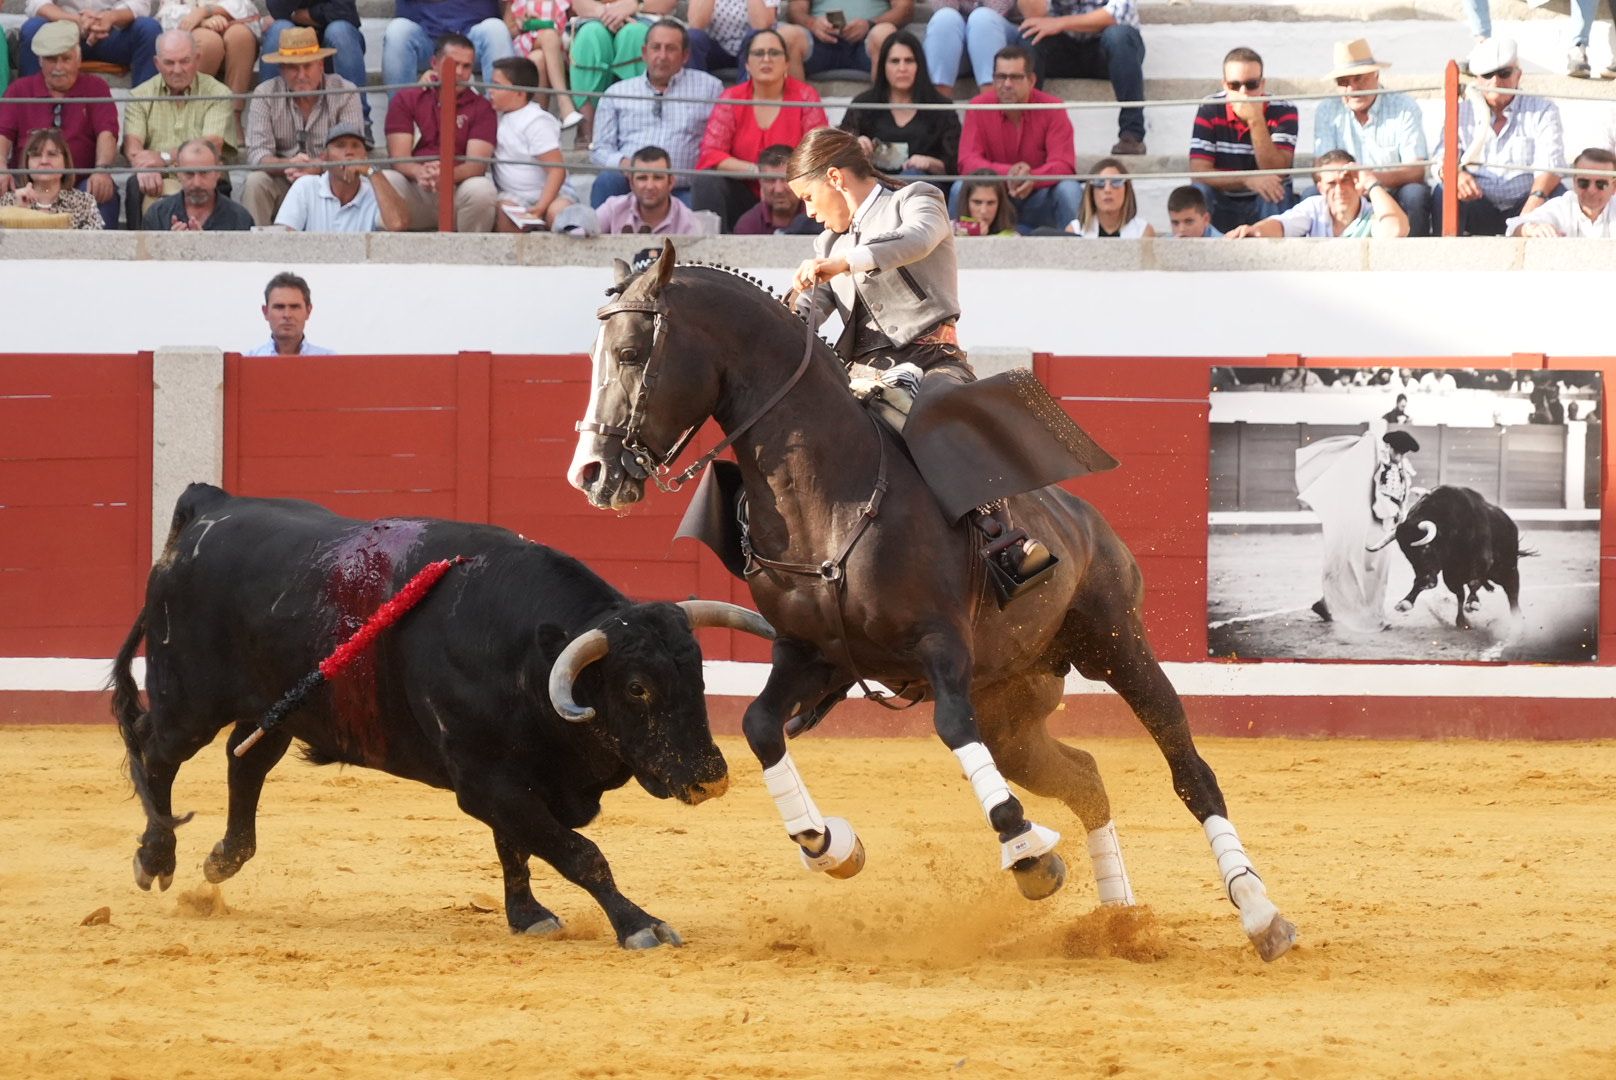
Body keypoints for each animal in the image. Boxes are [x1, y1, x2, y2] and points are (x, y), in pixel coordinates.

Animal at [110, 485, 772, 950]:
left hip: (275, 710)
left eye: (698, 673)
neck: (520, 652)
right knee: (157, 751)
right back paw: (155, 858)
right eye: (636, 688)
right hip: (189, 698)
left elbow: (518, 848)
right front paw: (640, 925)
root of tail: (208, 507)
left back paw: (223, 858)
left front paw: (528, 917)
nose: (710, 778)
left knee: (243, 762)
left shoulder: (515, 778)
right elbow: (576, 851)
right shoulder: (487, 780)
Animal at [568, 247, 1299, 963]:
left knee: (1190, 769)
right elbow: (758, 725)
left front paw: (1027, 854)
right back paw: (1118, 921)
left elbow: (950, 725)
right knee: (1086, 779)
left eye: (630, 353)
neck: (826, 497)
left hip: (1117, 644)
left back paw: (1260, 912)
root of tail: (1088, 521)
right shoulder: (814, 655)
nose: (591, 473)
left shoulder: (940, 643)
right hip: (1013, 712)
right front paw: (829, 846)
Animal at [1370, 481, 1519, 627]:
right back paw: (1462, 621)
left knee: (1512, 594)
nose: (1429, 581)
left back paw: (1517, 623)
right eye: (1407, 554)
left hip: (1508, 570)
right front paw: (1405, 602)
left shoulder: (1483, 559)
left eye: (1426, 548)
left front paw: (1473, 603)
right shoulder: (1449, 575)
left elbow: (1473, 581)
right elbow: (1459, 592)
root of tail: (1511, 524)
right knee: (1463, 593)